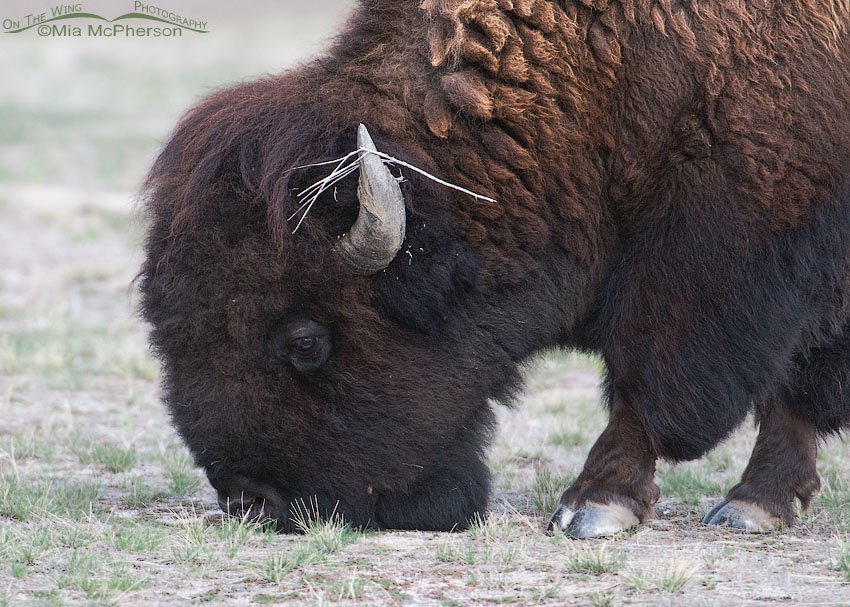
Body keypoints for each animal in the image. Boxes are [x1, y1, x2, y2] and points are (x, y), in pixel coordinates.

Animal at [140, 0, 850, 537]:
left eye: (306, 341)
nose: (252, 501)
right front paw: (761, 501)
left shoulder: (721, 252)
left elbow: (655, 379)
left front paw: (598, 506)